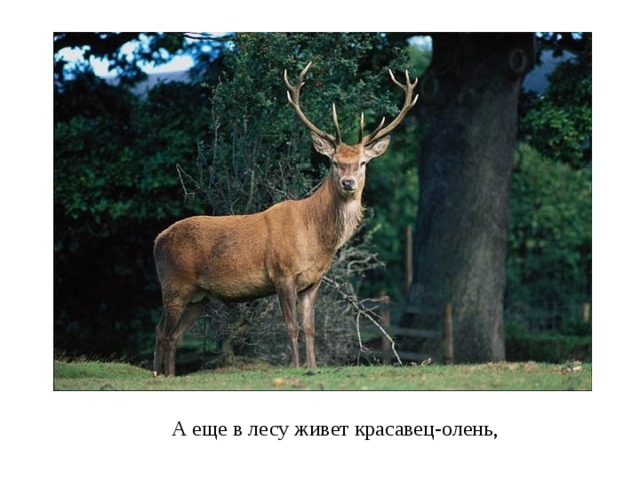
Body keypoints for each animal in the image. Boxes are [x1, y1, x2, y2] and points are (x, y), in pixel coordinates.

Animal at [152, 62, 418, 376]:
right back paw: (157, 374)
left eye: (363, 162)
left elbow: (310, 328)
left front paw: (313, 366)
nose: (348, 183)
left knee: (173, 334)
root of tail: (157, 240)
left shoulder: (313, 281)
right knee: (162, 331)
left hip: (199, 295)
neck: (315, 237)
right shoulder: (282, 273)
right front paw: (295, 366)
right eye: (334, 162)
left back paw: (168, 375)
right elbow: (291, 327)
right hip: (174, 283)